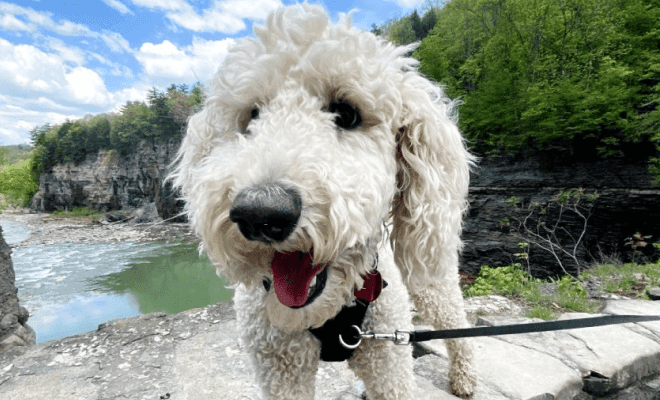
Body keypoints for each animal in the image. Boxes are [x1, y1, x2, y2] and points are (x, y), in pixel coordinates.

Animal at [173, 3, 476, 400]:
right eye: (252, 116)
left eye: (346, 113)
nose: (261, 213)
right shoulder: (279, 365)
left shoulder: (387, 359)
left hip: (431, 281)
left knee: (457, 323)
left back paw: (465, 376)